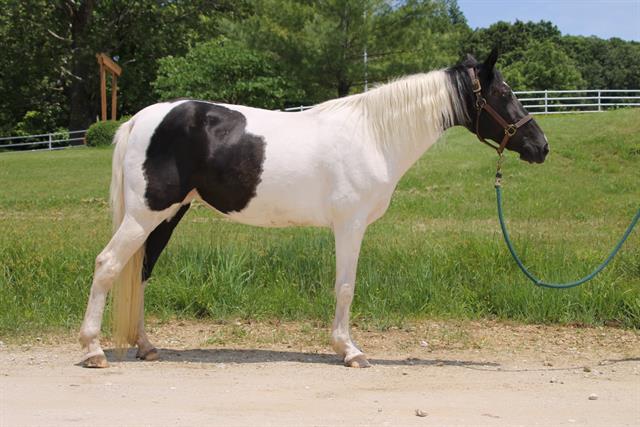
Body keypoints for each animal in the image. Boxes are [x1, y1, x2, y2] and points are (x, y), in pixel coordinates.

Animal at [80, 50, 552, 370]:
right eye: (504, 92)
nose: (541, 146)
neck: (373, 135)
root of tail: (139, 120)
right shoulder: (350, 225)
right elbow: (345, 286)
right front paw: (350, 351)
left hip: (167, 215)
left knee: (140, 272)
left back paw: (145, 346)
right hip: (145, 214)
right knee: (108, 265)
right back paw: (94, 349)